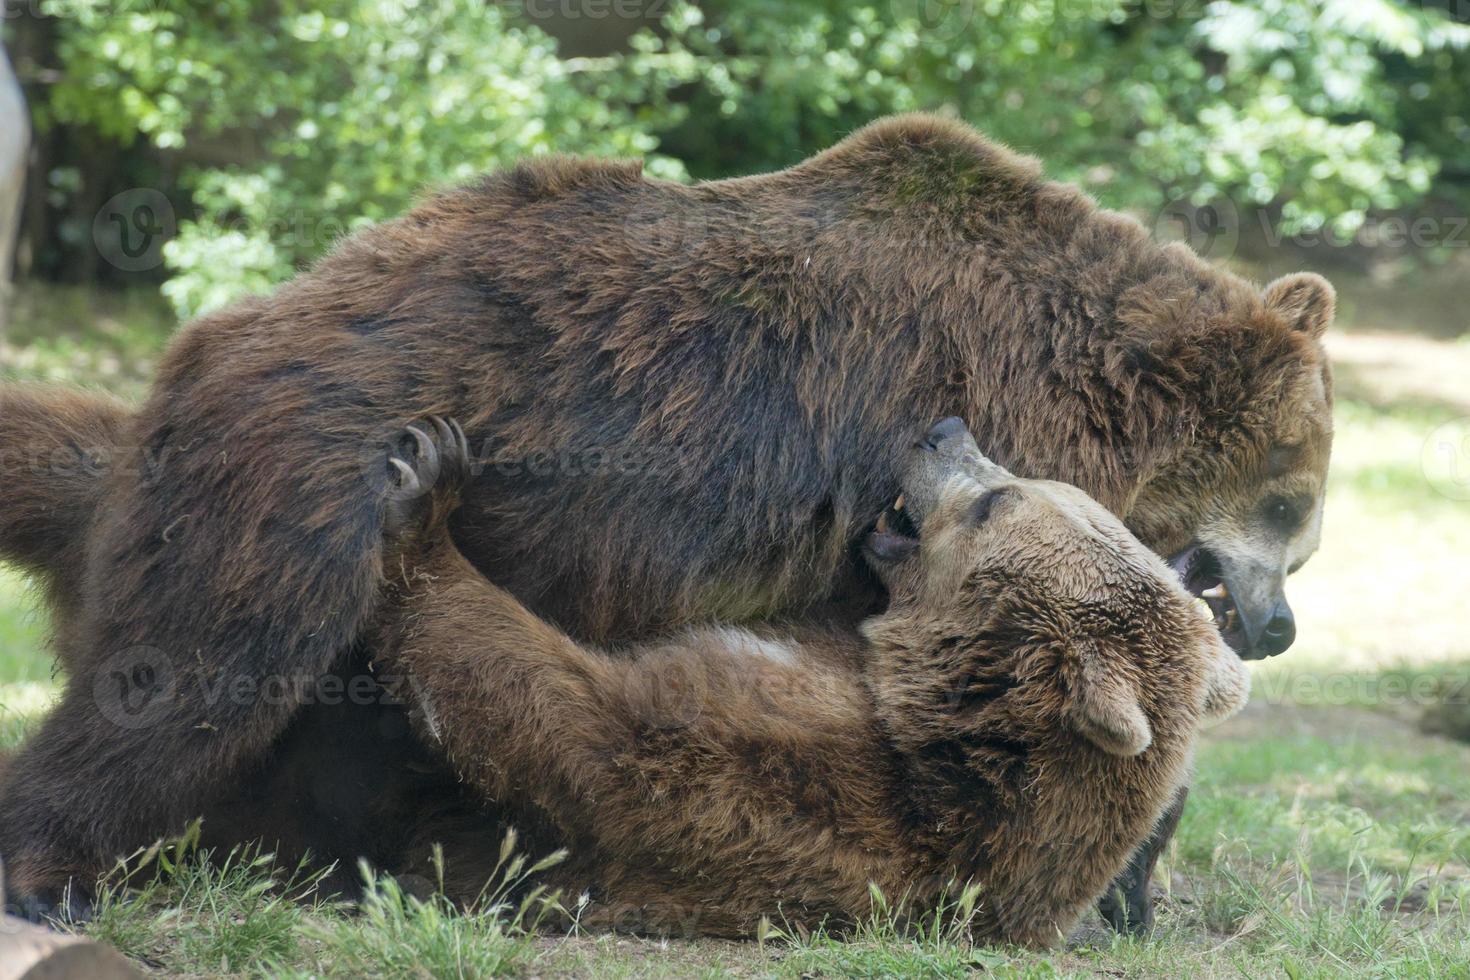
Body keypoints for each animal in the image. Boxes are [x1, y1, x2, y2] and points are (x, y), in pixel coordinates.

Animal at [370, 414, 1252, 940]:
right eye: (1023, 478)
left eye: (996, 500)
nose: (943, 429)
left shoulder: (782, 782)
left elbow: (554, 711)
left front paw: (428, 487)